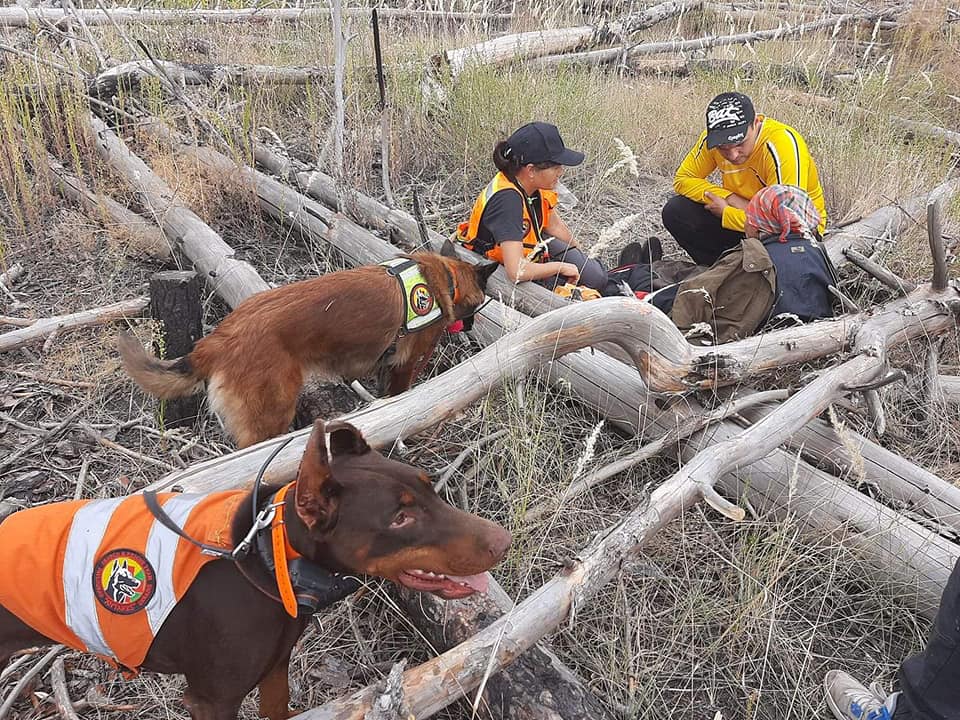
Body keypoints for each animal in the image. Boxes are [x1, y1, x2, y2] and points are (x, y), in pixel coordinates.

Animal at [0, 422, 510, 720]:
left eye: (428, 487)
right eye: (400, 518)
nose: (503, 541)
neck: (266, 561)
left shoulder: (275, 670)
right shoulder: (212, 699)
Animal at [120, 245, 496, 448]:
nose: (471, 327)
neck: (446, 278)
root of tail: (216, 341)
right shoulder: (407, 366)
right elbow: (401, 401)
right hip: (271, 416)